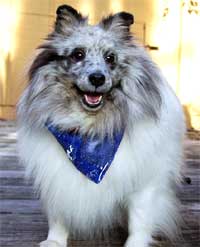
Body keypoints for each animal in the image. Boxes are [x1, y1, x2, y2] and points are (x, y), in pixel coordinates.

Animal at [17, 4, 186, 247]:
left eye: (110, 57)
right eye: (78, 54)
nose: (97, 78)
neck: (90, 130)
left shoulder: (144, 183)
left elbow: (139, 220)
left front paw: (135, 243)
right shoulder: (57, 177)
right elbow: (58, 215)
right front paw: (54, 241)